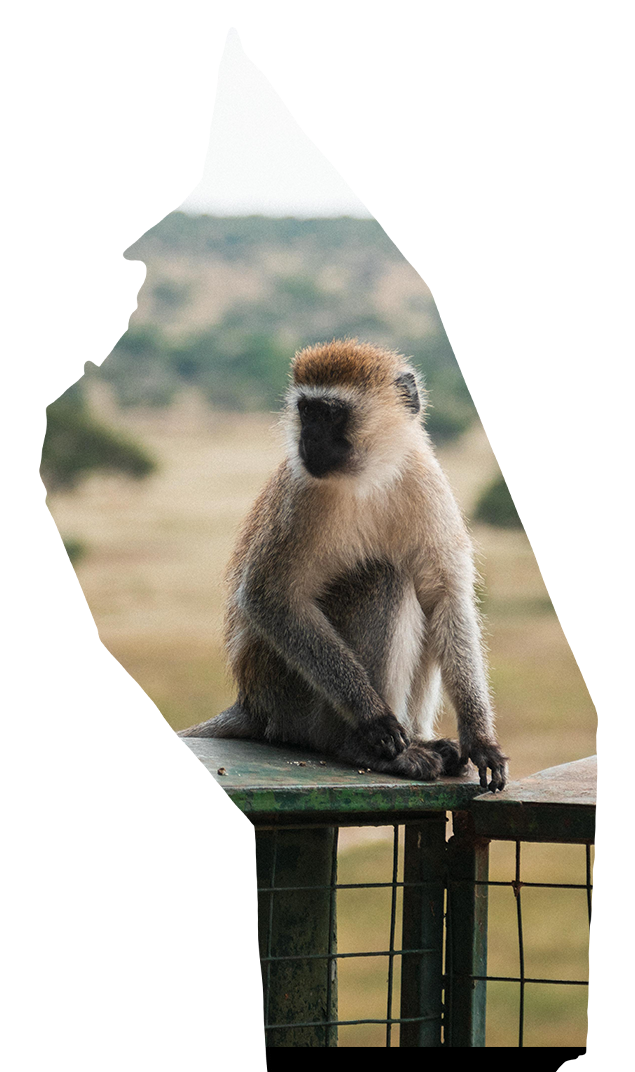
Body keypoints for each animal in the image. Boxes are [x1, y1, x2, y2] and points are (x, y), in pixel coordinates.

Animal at [176, 338, 506, 793]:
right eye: (306, 411)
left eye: (331, 413)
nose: (309, 439)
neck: (369, 477)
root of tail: (251, 703)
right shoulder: (300, 496)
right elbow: (269, 598)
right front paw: (373, 717)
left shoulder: (425, 479)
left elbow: (445, 597)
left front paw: (480, 740)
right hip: (289, 697)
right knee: (385, 578)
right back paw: (371, 751)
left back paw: (424, 741)